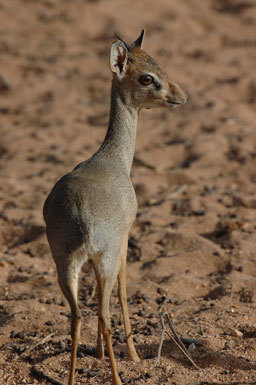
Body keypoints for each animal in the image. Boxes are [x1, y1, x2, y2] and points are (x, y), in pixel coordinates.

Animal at [43, 30, 188, 384]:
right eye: (147, 77)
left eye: (158, 63)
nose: (180, 97)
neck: (113, 158)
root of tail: (81, 219)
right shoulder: (123, 243)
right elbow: (124, 293)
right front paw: (134, 355)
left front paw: (96, 354)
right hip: (104, 260)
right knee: (105, 314)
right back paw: (119, 377)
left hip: (66, 265)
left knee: (77, 317)